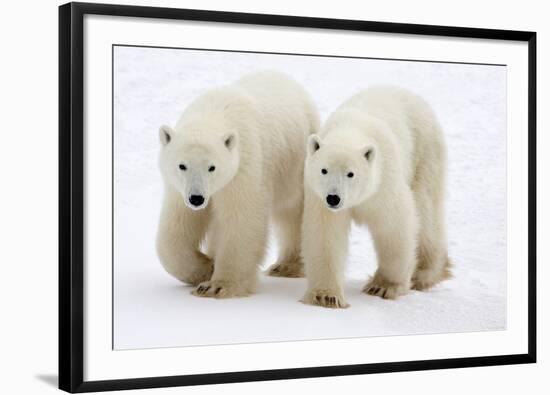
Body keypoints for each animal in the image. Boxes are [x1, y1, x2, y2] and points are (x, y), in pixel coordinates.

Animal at [156, 72, 320, 298]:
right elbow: (176, 227)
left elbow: (241, 219)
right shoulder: (178, 189)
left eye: (212, 167)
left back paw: (287, 266)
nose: (197, 198)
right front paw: (205, 268)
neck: (213, 111)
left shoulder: (244, 166)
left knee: (292, 210)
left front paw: (217, 285)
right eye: (182, 165)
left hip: (296, 164)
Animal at [302, 86, 452, 310]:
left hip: (425, 152)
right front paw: (326, 296)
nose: (333, 198)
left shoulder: (383, 182)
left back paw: (425, 273)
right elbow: (325, 234)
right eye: (324, 170)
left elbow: (394, 226)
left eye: (351, 173)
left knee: (426, 211)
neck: (351, 129)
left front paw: (383, 286)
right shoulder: (318, 197)